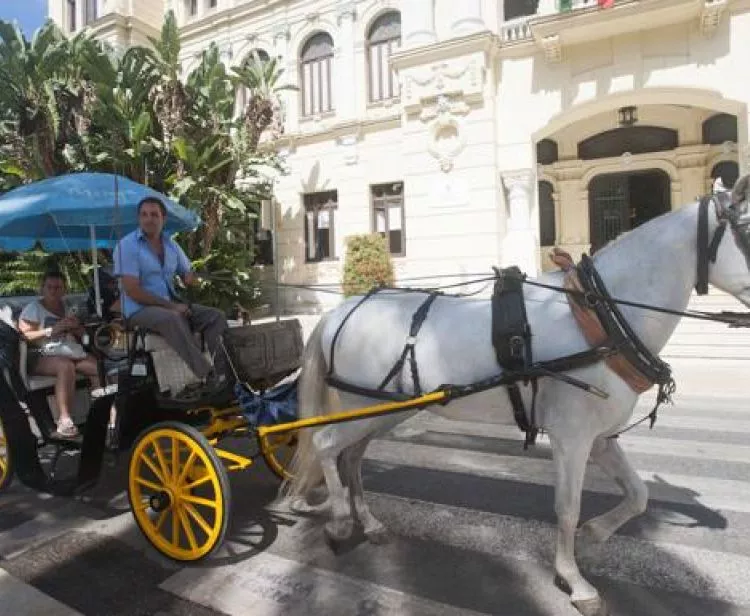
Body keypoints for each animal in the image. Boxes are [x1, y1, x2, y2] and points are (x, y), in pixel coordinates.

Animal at [280, 184, 750, 616]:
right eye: (746, 229)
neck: (598, 317)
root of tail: (340, 312)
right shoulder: (571, 437)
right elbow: (567, 507)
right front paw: (574, 578)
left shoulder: (600, 437)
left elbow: (638, 495)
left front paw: (595, 535)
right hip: (359, 409)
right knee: (326, 446)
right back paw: (341, 521)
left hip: (382, 411)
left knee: (353, 458)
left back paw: (369, 521)